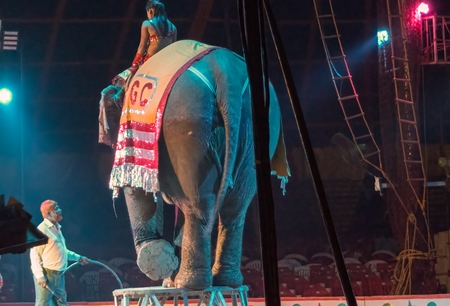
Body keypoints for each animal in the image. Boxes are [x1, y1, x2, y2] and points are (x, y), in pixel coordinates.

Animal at [98, 38, 288, 290]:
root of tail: (225, 74)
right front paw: (167, 271)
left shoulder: (133, 126)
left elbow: (138, 184)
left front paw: (158, 262)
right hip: (256, 129)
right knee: (234, 208)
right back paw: (224, 282)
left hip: (187, 123)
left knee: (198, 206)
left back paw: (189, 285)